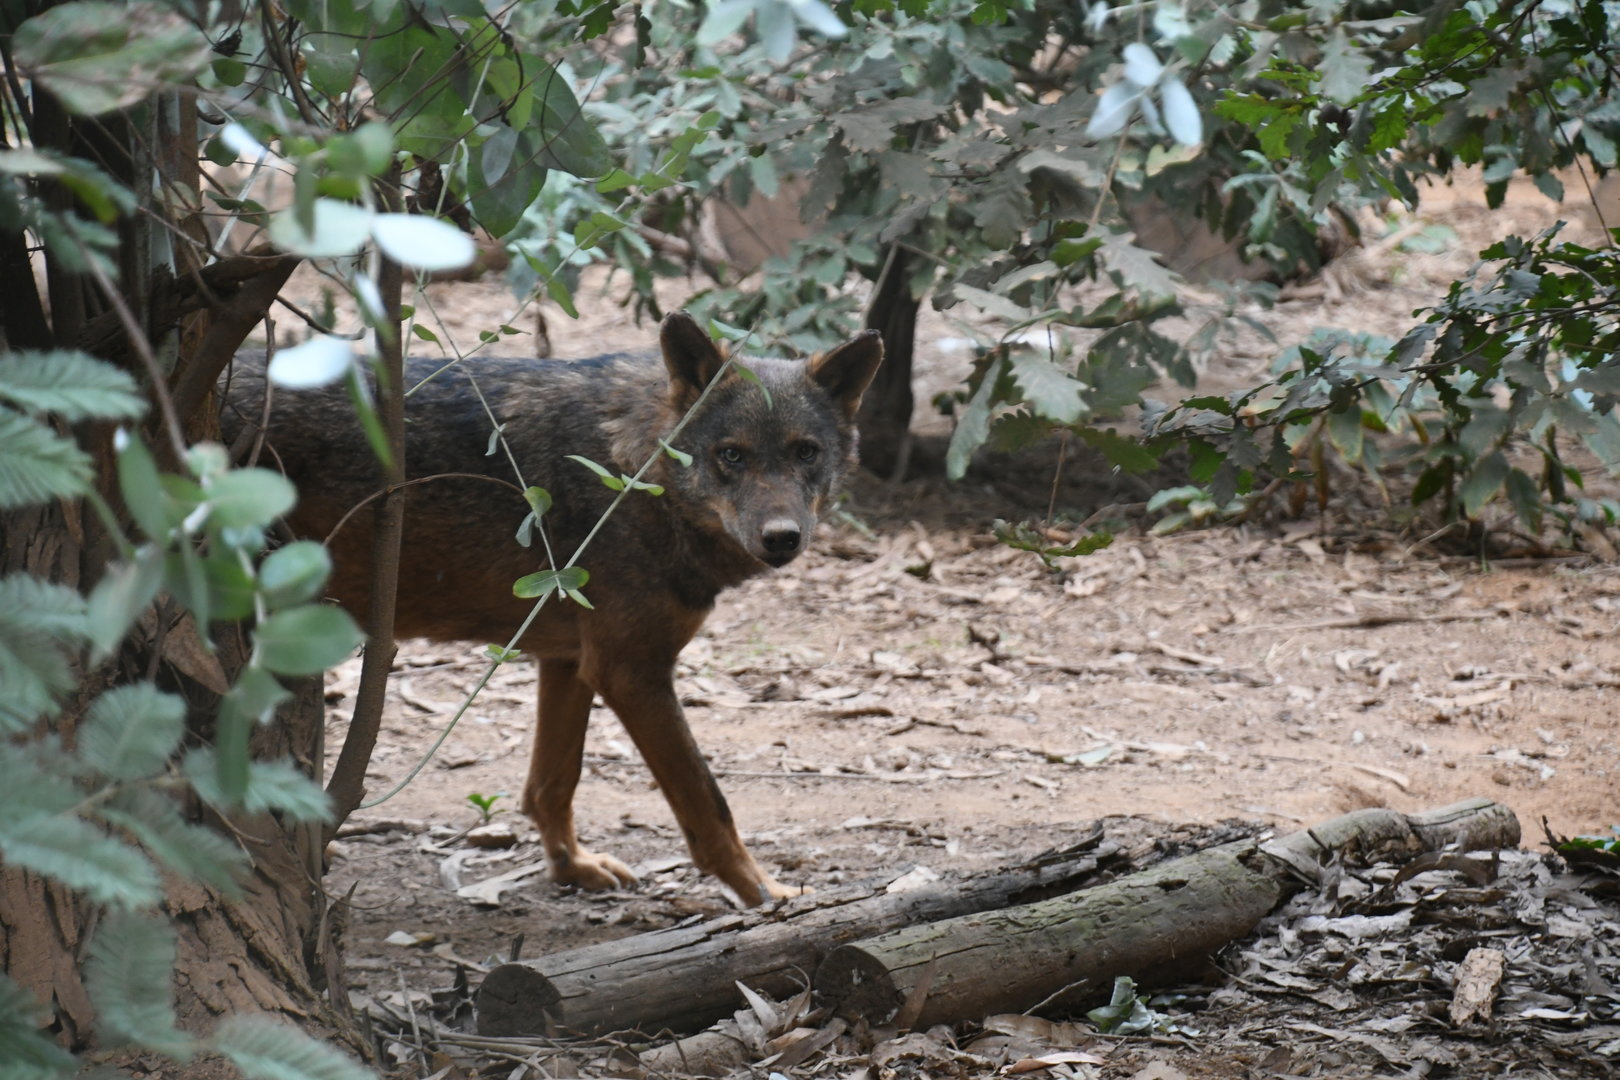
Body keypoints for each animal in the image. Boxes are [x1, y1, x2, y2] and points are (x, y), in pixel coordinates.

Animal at [225, 313, 882, 906]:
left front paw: (571, 868)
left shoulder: (570, 661)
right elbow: (709, 805)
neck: (638, 472)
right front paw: (766, 895)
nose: (783, 538)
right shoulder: (632, 672)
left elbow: (551, 784)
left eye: (806, 453)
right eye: (732, 456)